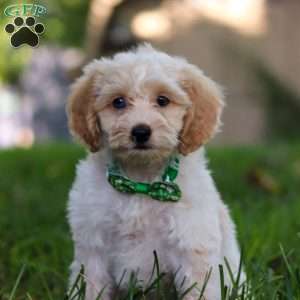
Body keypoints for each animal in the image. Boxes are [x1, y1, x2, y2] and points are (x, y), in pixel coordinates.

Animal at [66, 43, 244, 298]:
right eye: (118, 102)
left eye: (162, 100)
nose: (140, 132)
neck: (142, 181)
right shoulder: (93, 245)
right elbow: (91, 286)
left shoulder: (191, 243)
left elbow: (199, 288)